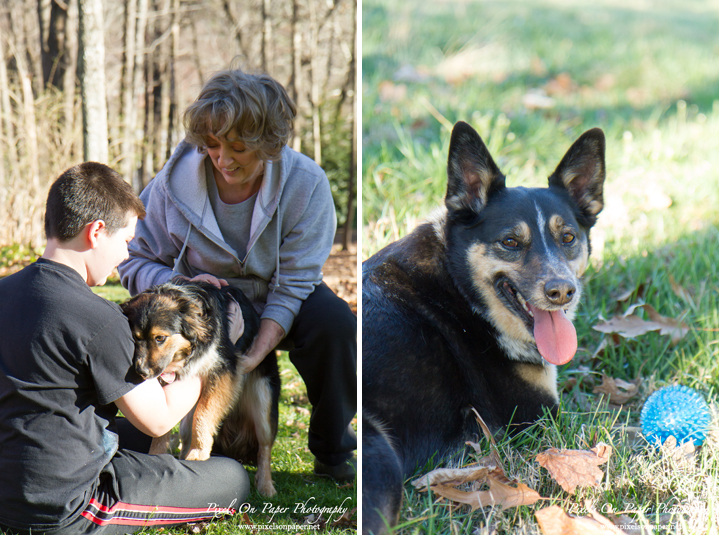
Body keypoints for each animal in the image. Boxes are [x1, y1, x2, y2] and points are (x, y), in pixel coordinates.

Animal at [121, 282, 282, 496]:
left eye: (160, 338)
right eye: (135, 337)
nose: (142, 372)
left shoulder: (223, 371)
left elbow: (203, 415)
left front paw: (198, 453)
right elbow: (161, 425)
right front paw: (156, 455)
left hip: (263, 399)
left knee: (264, 446)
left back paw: (265, 485)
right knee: (185, 433)